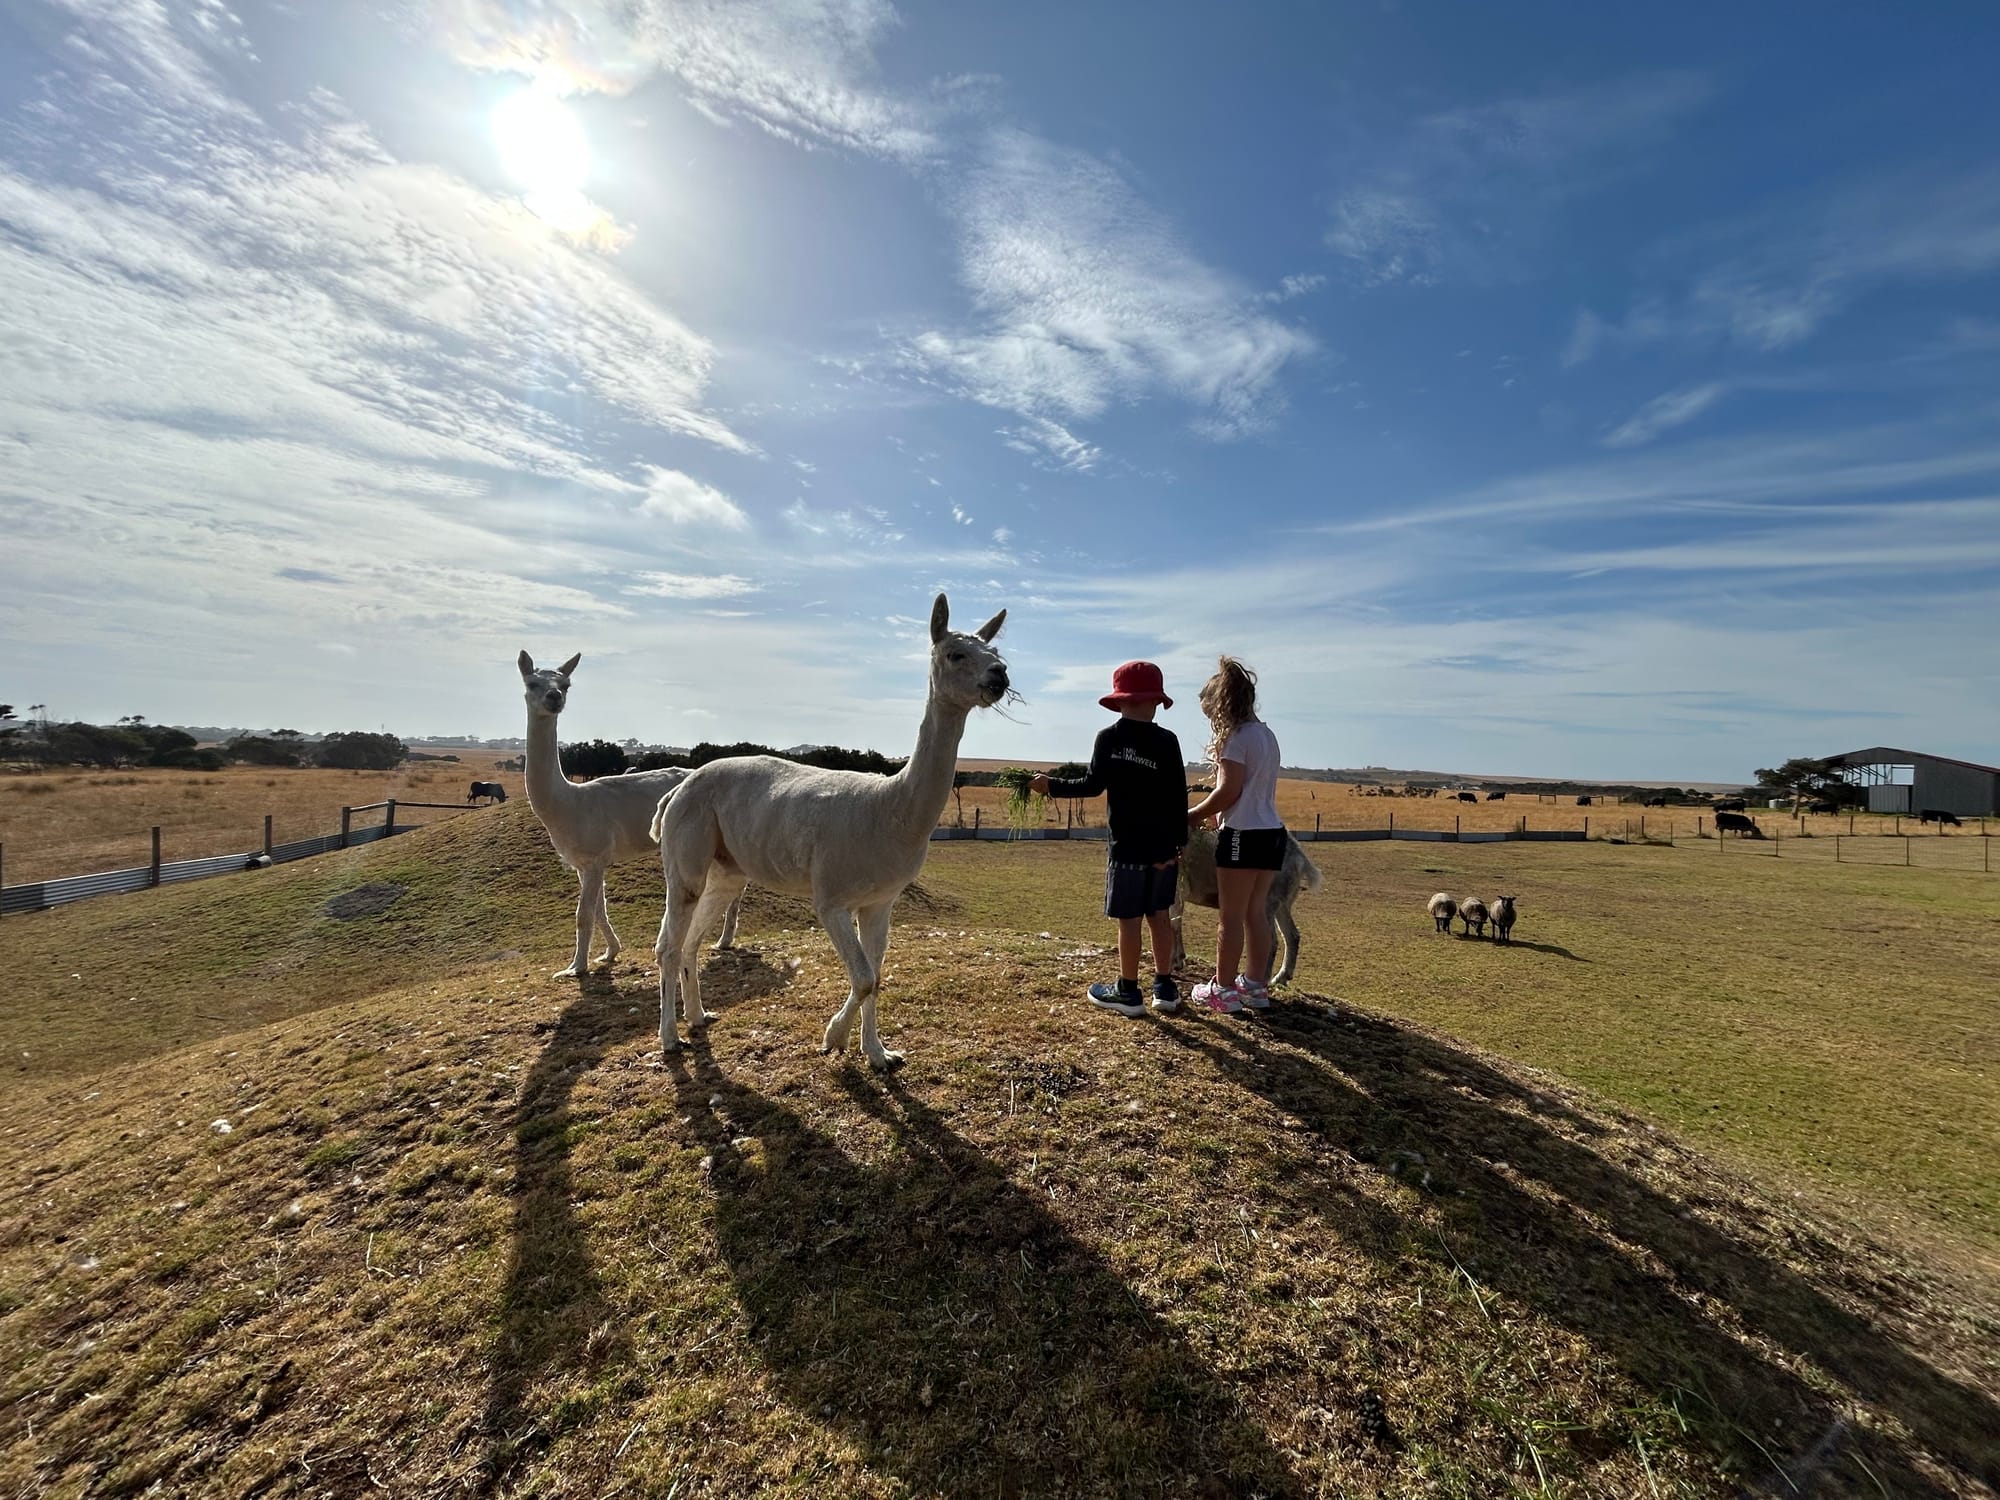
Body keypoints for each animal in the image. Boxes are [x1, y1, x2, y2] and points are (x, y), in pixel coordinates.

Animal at [517, 651, 740, 978]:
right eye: (532, 682)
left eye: (566, 684)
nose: (554, 697)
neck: (567, 805)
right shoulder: (583, 863)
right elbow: (599, 909)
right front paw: (608, 953)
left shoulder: (595, 856)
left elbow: (583, 914)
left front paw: (576, 969)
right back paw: (724, 940)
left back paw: (724, 941)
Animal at [651, 594, 1009, 1068]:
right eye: (956, 653)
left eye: (996, 652)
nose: (999, 676)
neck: (890, 811)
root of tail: (676, 791)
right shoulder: (831, 898)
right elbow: (864, 977)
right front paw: (833, 1038)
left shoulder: (880, 901)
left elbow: (877, 975)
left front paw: (879, 1054)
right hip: (685, 859)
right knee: (668, 945)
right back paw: (670, 1037)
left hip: (727, 869)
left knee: (691, 940)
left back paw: (698, 1016)